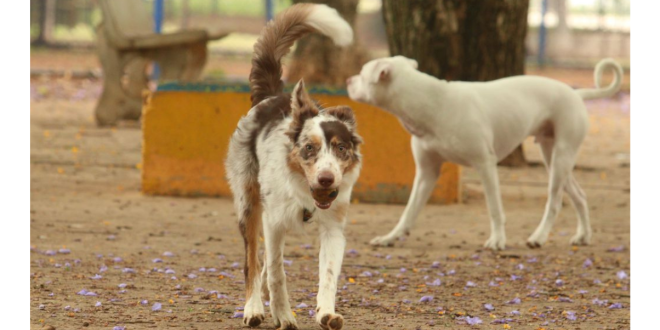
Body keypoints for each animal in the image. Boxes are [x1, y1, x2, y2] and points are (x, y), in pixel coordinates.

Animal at [226, 3, 360, 328]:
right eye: (309, 148)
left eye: (340, 148)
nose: (326, 179)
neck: (304, 194)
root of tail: (272, 96)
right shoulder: (273, 222)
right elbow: (276, 272)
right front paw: (283, 315)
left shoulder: (333, 228)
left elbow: (328, 275)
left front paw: (326, 313)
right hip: (248, 205)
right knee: (252, 262)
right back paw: (253, 307)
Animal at [348, 55, 620, 250]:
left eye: (362, 73)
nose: (349, 81)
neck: (433, 103)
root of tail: (576, 93)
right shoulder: (427, 172)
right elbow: (409, 210)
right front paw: (390, 237)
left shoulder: (485, 165)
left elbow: (494, 208)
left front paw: (498, 240)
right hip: (552, 157)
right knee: (580, 196)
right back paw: (583, 236)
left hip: (561, 158)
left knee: (554, 203)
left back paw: (539, 237)